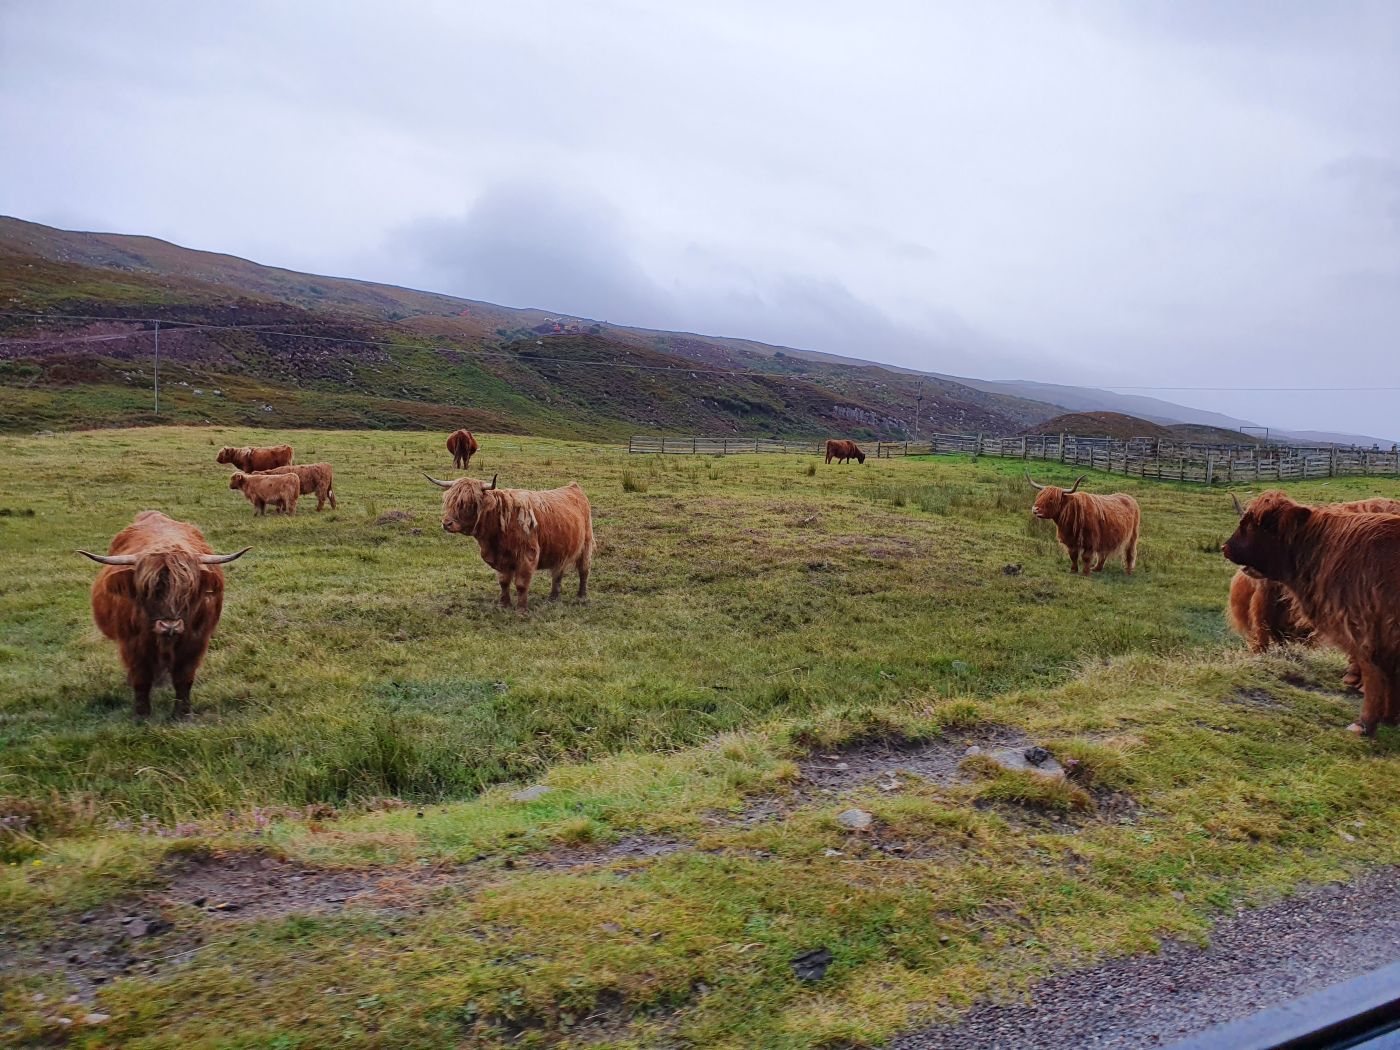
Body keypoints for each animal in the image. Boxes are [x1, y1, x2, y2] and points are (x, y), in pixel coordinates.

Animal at [77, 511, 249, 718]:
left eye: (188, 589)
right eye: (147, 589)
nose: (169, 626)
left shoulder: (195, 642)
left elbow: (184, 679)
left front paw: (182, 714)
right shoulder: (131, 644)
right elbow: (141, 679)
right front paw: (142, 716)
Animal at [425, 472, 592, 612]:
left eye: (469, 503)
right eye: (449, 501)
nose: (446, 523)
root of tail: (573, 487)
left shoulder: (527, 556)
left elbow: (521, 584)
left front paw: (521, 610)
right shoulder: (501, 559)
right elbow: (504, 582)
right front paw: (504, 604)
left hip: (586, 545)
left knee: (583, 570)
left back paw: (581, 596)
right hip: (561, 550)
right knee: (557, 572)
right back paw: (552, 598)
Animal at [1223, 490, 1400, 735]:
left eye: (1260, 526)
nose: (1225, 547)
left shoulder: (1367, 626)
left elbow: (1374, 671)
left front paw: (1364, 723)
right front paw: (1389, 717)